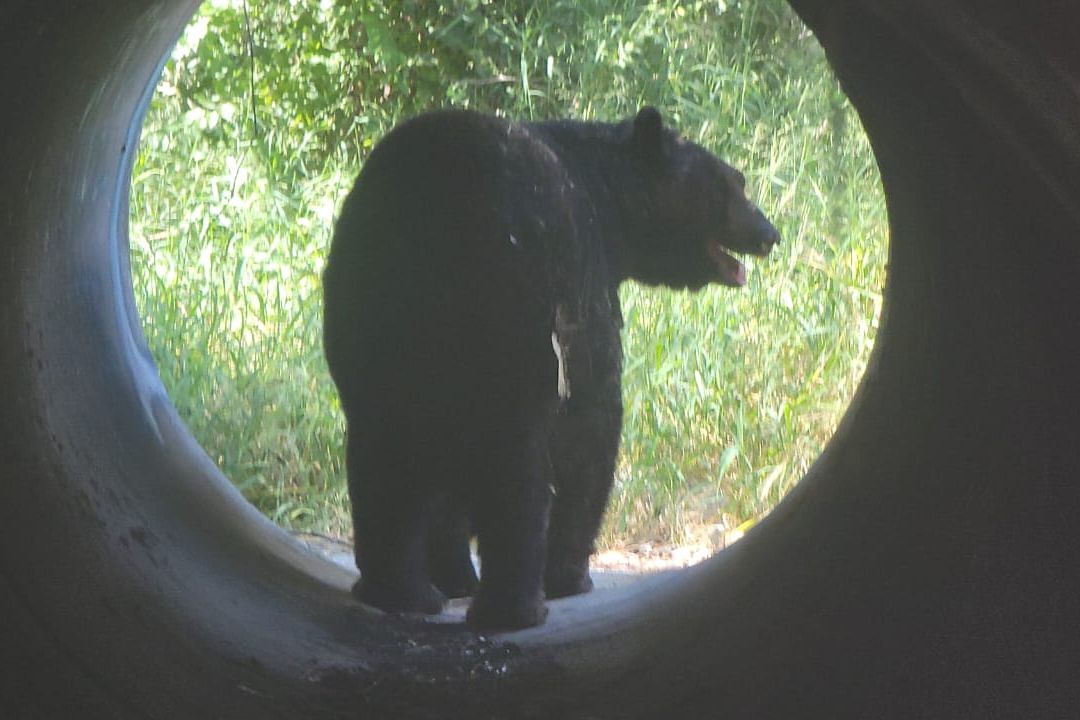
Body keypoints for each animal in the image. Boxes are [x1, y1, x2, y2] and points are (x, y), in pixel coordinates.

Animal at [322, 107, 779, 631]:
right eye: (733, 183)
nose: (770, 234)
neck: (605, 195)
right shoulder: (585, 282)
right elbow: (593, 421)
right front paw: (569, 575)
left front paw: (453, 575)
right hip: (517, 316)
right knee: (516, 467)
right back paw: (515, 607)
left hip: (373, 323)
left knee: (382, 455)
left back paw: (401, 591)